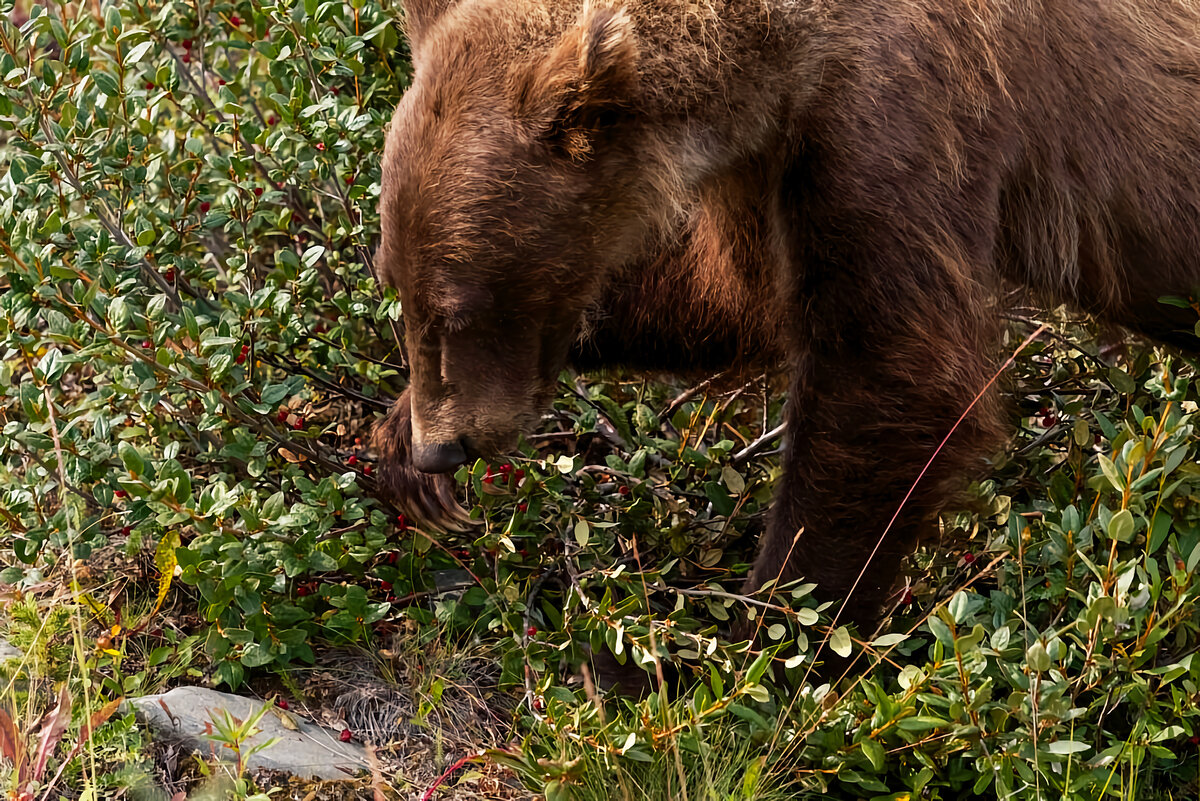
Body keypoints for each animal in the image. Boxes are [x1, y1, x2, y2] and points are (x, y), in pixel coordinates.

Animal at [369, 0, 1200, 633]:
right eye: (395, 280)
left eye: (461, 304)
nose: (442, 448)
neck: (780, 50)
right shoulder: (771, 155)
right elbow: (738, 298)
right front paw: (398, 441)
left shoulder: (897, 110)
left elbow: (893, 370)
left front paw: (766, 644)